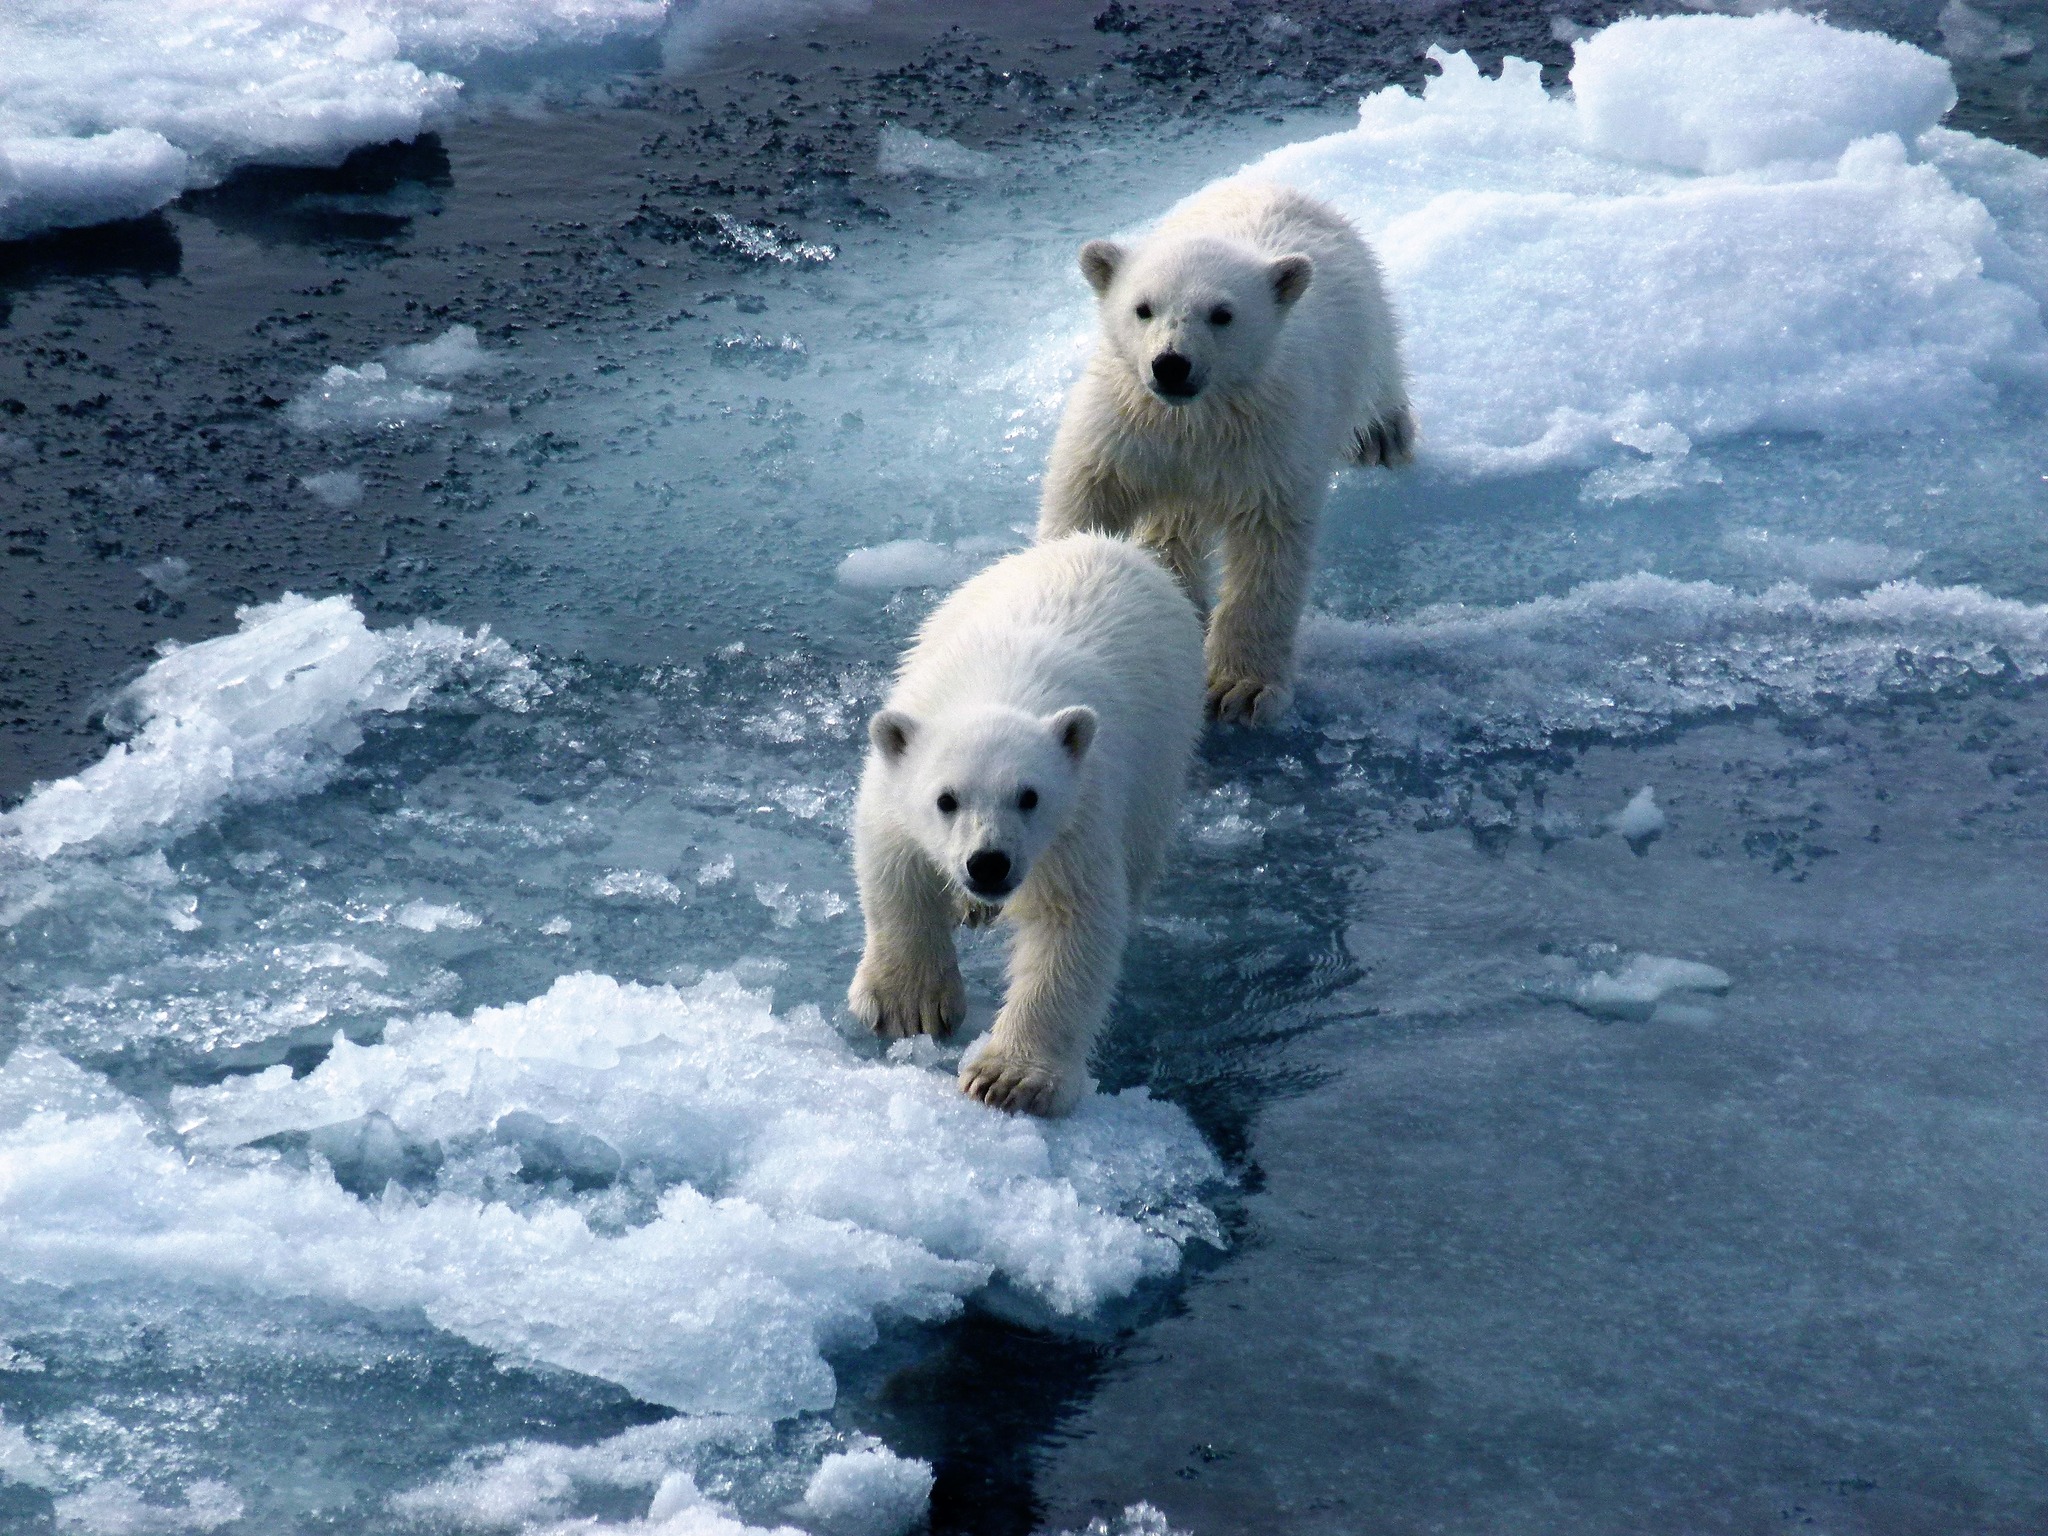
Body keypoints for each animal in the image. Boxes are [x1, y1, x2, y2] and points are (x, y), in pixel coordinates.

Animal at [843, 536, 1196, 1114]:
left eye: (1029, 796)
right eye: (945, 799)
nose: (987, 864)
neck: (998, 686)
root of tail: (1108, 543)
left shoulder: (1078, 817)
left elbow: (1071, 924)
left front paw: (1008, 1079)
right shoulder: (898, 772)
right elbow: (896, 864)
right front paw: (909, 1004)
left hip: (1163, 754)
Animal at [1040, 177, 1409, 729]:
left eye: (1223, 314)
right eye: (1143, 307)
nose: (1171, 364)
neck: (1196, 419)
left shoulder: (1269, 443)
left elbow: (1268, 553)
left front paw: (1242, 689)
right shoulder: (1125, 426)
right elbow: (1087, 494)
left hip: (1365, 315)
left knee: (1383, 362)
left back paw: (1384, 436)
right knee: (1172, 523)